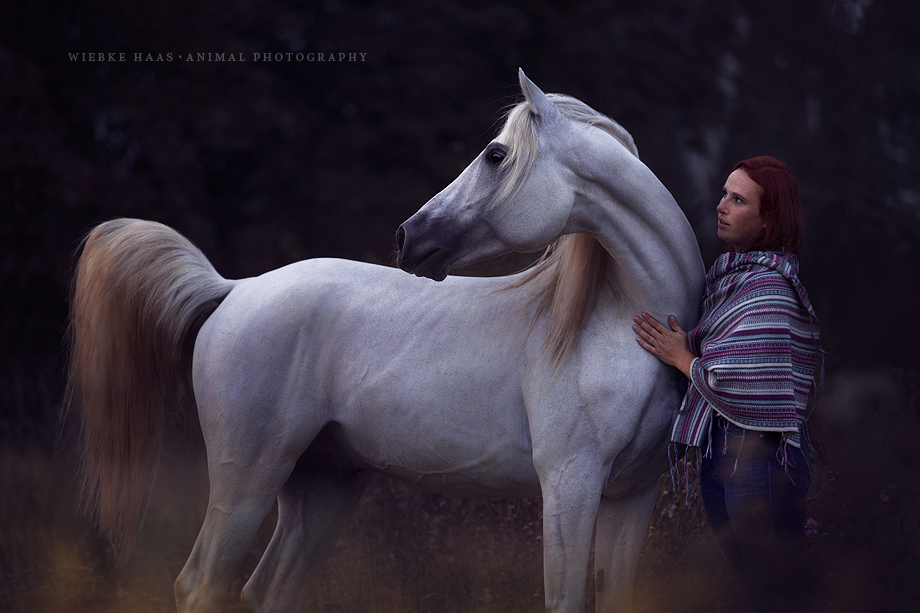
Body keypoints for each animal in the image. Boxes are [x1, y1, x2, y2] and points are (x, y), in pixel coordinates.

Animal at [68, 69, 705, 613]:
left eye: (496, 155)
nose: (407, 237)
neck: (618, 320)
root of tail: (236, 288)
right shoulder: (570, 486)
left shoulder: (630, 497)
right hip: (246, 476)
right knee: (200, 583)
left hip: (323, 487)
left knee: (266, 589)